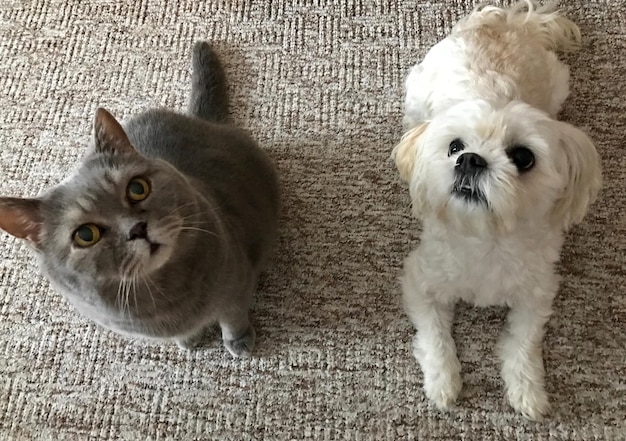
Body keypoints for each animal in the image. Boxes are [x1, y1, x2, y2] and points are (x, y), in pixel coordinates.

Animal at [0, 42, 280, 358]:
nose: (137, 229)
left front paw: (239, 342)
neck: (168, 294)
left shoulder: (236, 284)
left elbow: (233, 318)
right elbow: (185, 333)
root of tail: (199, 119)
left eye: (137, 188)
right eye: (85, 235)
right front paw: (190, 340)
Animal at [392, 0, 604, 420]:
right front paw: (443, 383)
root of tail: (501, 23)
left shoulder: (536, 293)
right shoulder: (422, 280)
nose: (470, 160)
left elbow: (523, 342)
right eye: (454, 147)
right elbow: (435, 335)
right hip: (418, 87)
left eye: (523, 157)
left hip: (559, 80)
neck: (487, 237)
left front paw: (528, 392)